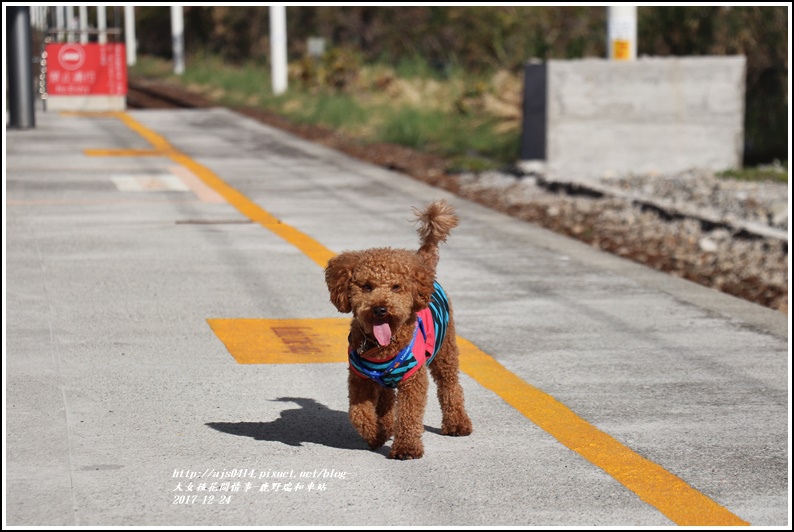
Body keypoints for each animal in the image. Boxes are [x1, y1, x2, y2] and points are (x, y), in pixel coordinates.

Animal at [324, 200, 470, 458]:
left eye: (396, 287)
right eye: (366, 286)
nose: (380, 309)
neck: (382, 346)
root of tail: (424, 266)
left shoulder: (413, 381)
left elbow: (409, 415)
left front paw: (406, 447)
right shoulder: (360, 379)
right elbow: (358, 414)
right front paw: (378, 434)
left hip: (445, 352)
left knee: (450, 386)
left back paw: (457, 424)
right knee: (386, 400)